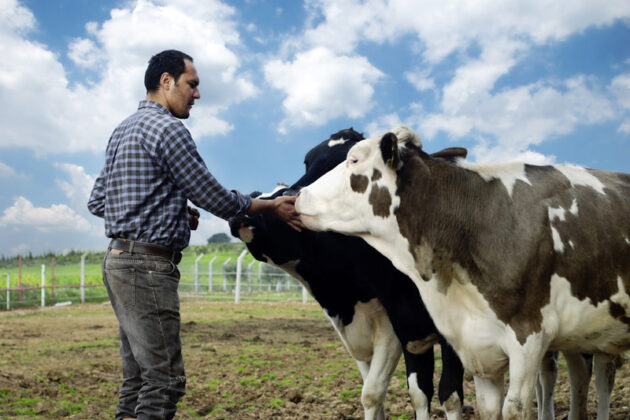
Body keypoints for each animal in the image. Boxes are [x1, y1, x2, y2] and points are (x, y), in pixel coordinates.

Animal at [230, 128, 466, 420]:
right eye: (307, 162)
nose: (244, 208)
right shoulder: (402, 328)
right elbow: (408, 393)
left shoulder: (400, 330)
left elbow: (444, 395)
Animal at [298, 125, 630, 420]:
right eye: (307, 160)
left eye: (353, 159)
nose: (299, 195)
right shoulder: (476, 346)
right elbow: (485, 408)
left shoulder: (530, 337)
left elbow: (513, 408)